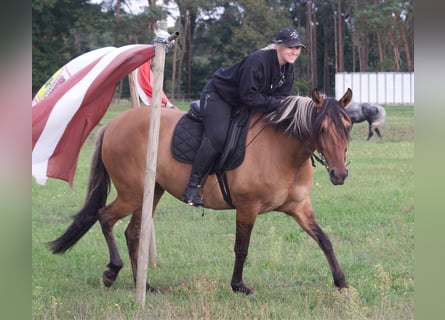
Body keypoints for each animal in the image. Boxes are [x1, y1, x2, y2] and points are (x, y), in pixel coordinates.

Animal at [48, 87, 352, 296]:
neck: (283, 151)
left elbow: (324, 240)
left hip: (151, 192)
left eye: (348, 126)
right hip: (131, 194)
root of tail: (111, 125)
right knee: (105, 217)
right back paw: (113, 271)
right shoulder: (248, 207)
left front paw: (341, 281)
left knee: (133, 233)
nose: (339, 175)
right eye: (322, 128)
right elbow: (241, 247)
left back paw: (142, 285)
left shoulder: (299, 206)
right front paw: (238, 285)